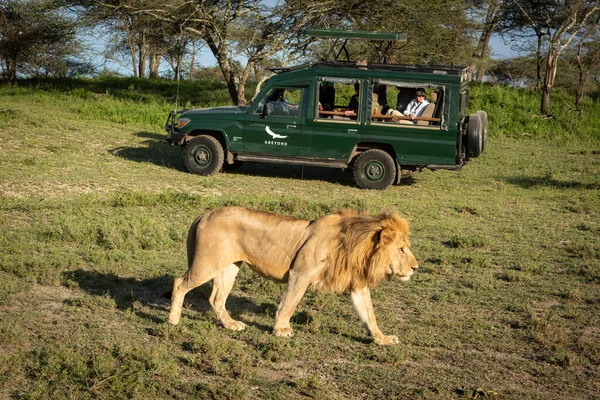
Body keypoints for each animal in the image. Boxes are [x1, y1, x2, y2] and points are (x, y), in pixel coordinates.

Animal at [169, 206, 418, 344]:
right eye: (401, 249)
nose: (416, 268)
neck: (356, 247)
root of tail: (205, 213)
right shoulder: (300, 273)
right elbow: (290, 303)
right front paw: (281, 330)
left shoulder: (357, 285)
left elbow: (369, 315)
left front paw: (382, 339)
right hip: (207, 263)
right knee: (180, 283)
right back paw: (173, 319)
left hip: (229, 266)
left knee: (216, 299)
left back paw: (231, 325)